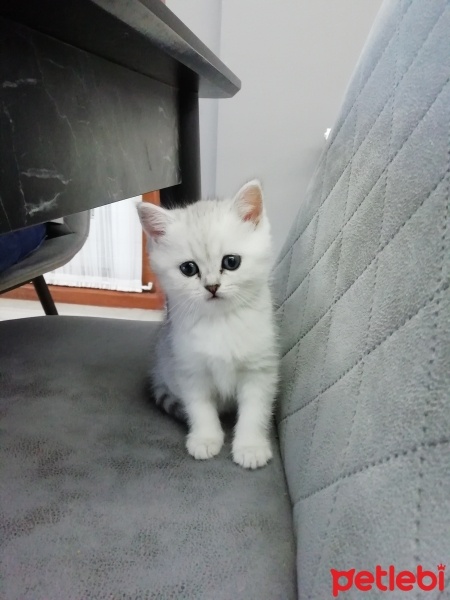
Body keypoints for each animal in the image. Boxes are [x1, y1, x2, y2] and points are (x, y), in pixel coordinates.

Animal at [137, 180, 278, 472]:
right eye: (189, 269)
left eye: (231, 262)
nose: (212, 286)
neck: (220, 322)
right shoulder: (190, 370)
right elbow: (200, 409)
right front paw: (205, 439)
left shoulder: (259, 371)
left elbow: (254, 412)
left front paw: (250, 446)